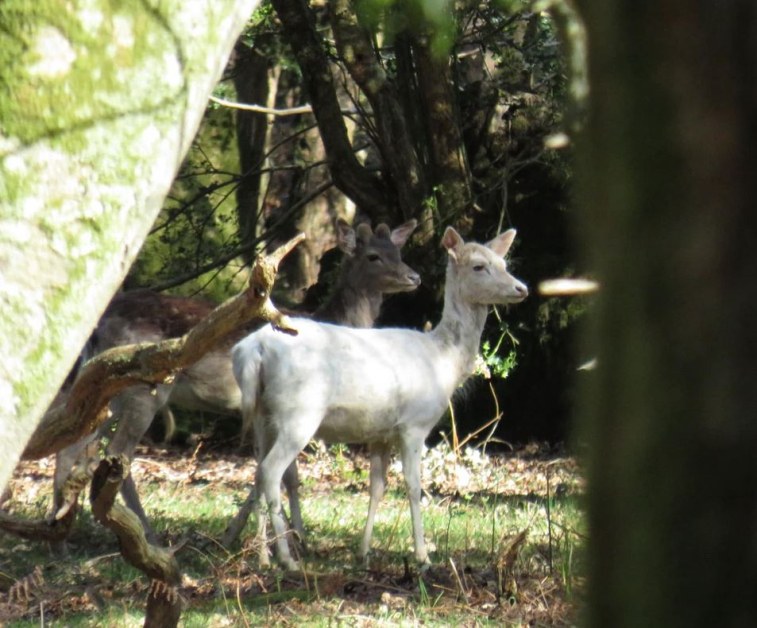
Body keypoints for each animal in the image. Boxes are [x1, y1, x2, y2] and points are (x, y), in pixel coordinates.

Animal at [53, 220, 420, 540]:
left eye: (398, 251)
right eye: (373, 255)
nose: (414, 276)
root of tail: (98, 326)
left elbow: (281, 474)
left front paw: (265, 534)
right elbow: (278, 474)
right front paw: (276, 535)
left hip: (108, 389)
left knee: (73, 441)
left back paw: (60, 524)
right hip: (144, 391)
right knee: (117, 455)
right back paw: (146, 534)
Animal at [230, 227, 524, 568]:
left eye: (504, 263)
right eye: (479, 266)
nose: (521, 288)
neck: (443, 362)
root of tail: (253, 350)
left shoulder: (380, 433)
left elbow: (377, 488)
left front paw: (364, 551)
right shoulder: (414, 424)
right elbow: (413, 485)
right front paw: (423, 555)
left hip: (263, 413)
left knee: (257, 472)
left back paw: (263, 557)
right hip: (298, 412)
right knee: (271, 471)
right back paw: (288, 559)